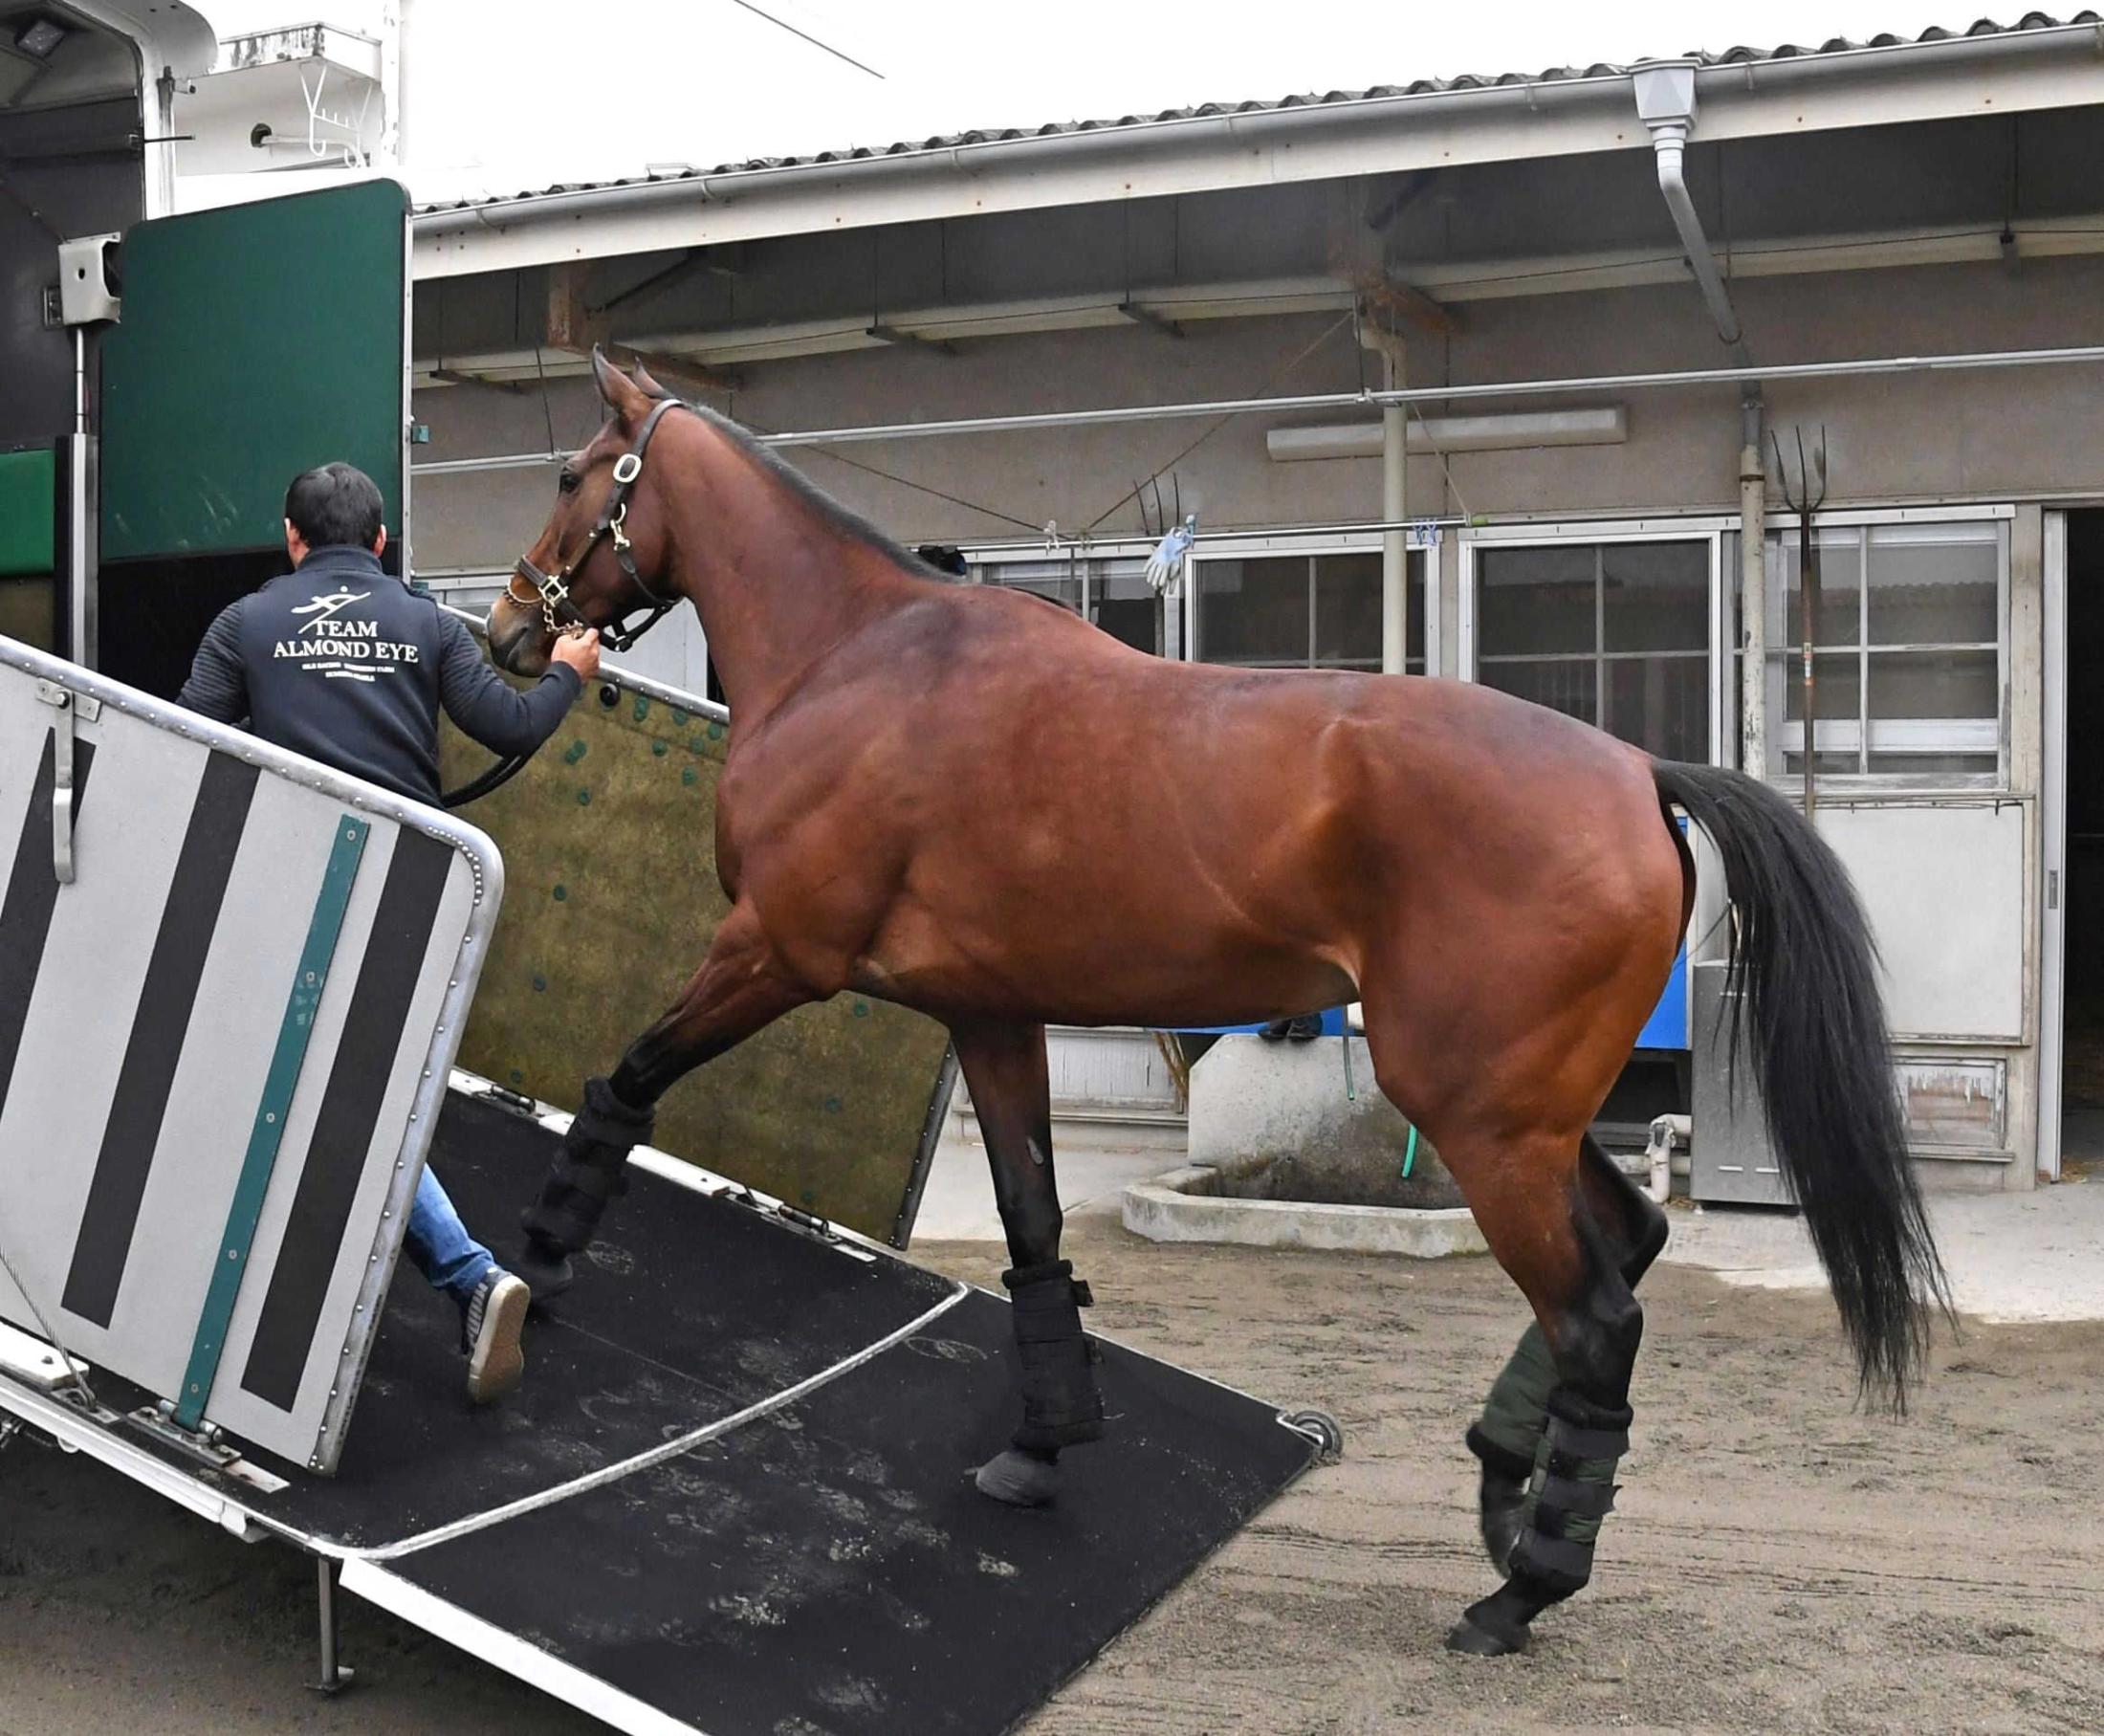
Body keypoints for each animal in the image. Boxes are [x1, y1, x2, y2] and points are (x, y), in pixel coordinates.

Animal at [484, 349, 1943, 1649]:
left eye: (567, 474)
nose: (507, 630)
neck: (863, 657)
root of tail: (1639, 773)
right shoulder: (990, 1018)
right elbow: (1030, 1225)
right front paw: (1041, 1444)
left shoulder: (774, 952)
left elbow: (626, 1079)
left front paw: (539, 1264)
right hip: (1527, 1113)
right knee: (1628, 1245)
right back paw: (1497, 1484)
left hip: (1481, 1120)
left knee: (1595, 1315)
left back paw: (1523, 1586)